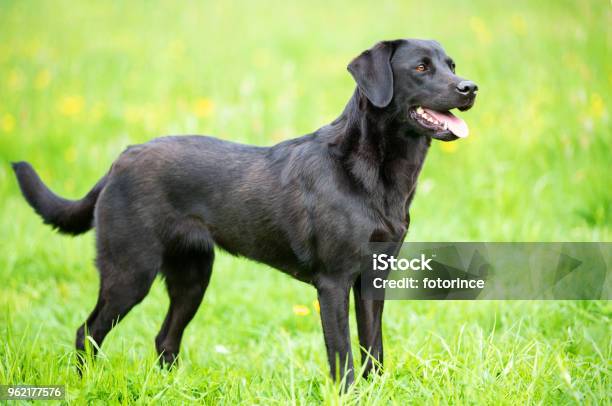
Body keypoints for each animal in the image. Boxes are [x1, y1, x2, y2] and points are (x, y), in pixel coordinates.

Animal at [10, 38, 478, 386]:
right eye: (421, 68)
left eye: (451, 65)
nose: (470, 87)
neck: (370, 170)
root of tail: (121, 158)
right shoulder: (333, 282)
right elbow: (342, 352)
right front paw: (348, 393)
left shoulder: (373, 277)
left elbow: (373, 347)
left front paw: (376, 390)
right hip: (130, 272)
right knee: (88, 332)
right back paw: (83, 384)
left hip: (193, 276)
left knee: (165, 339)